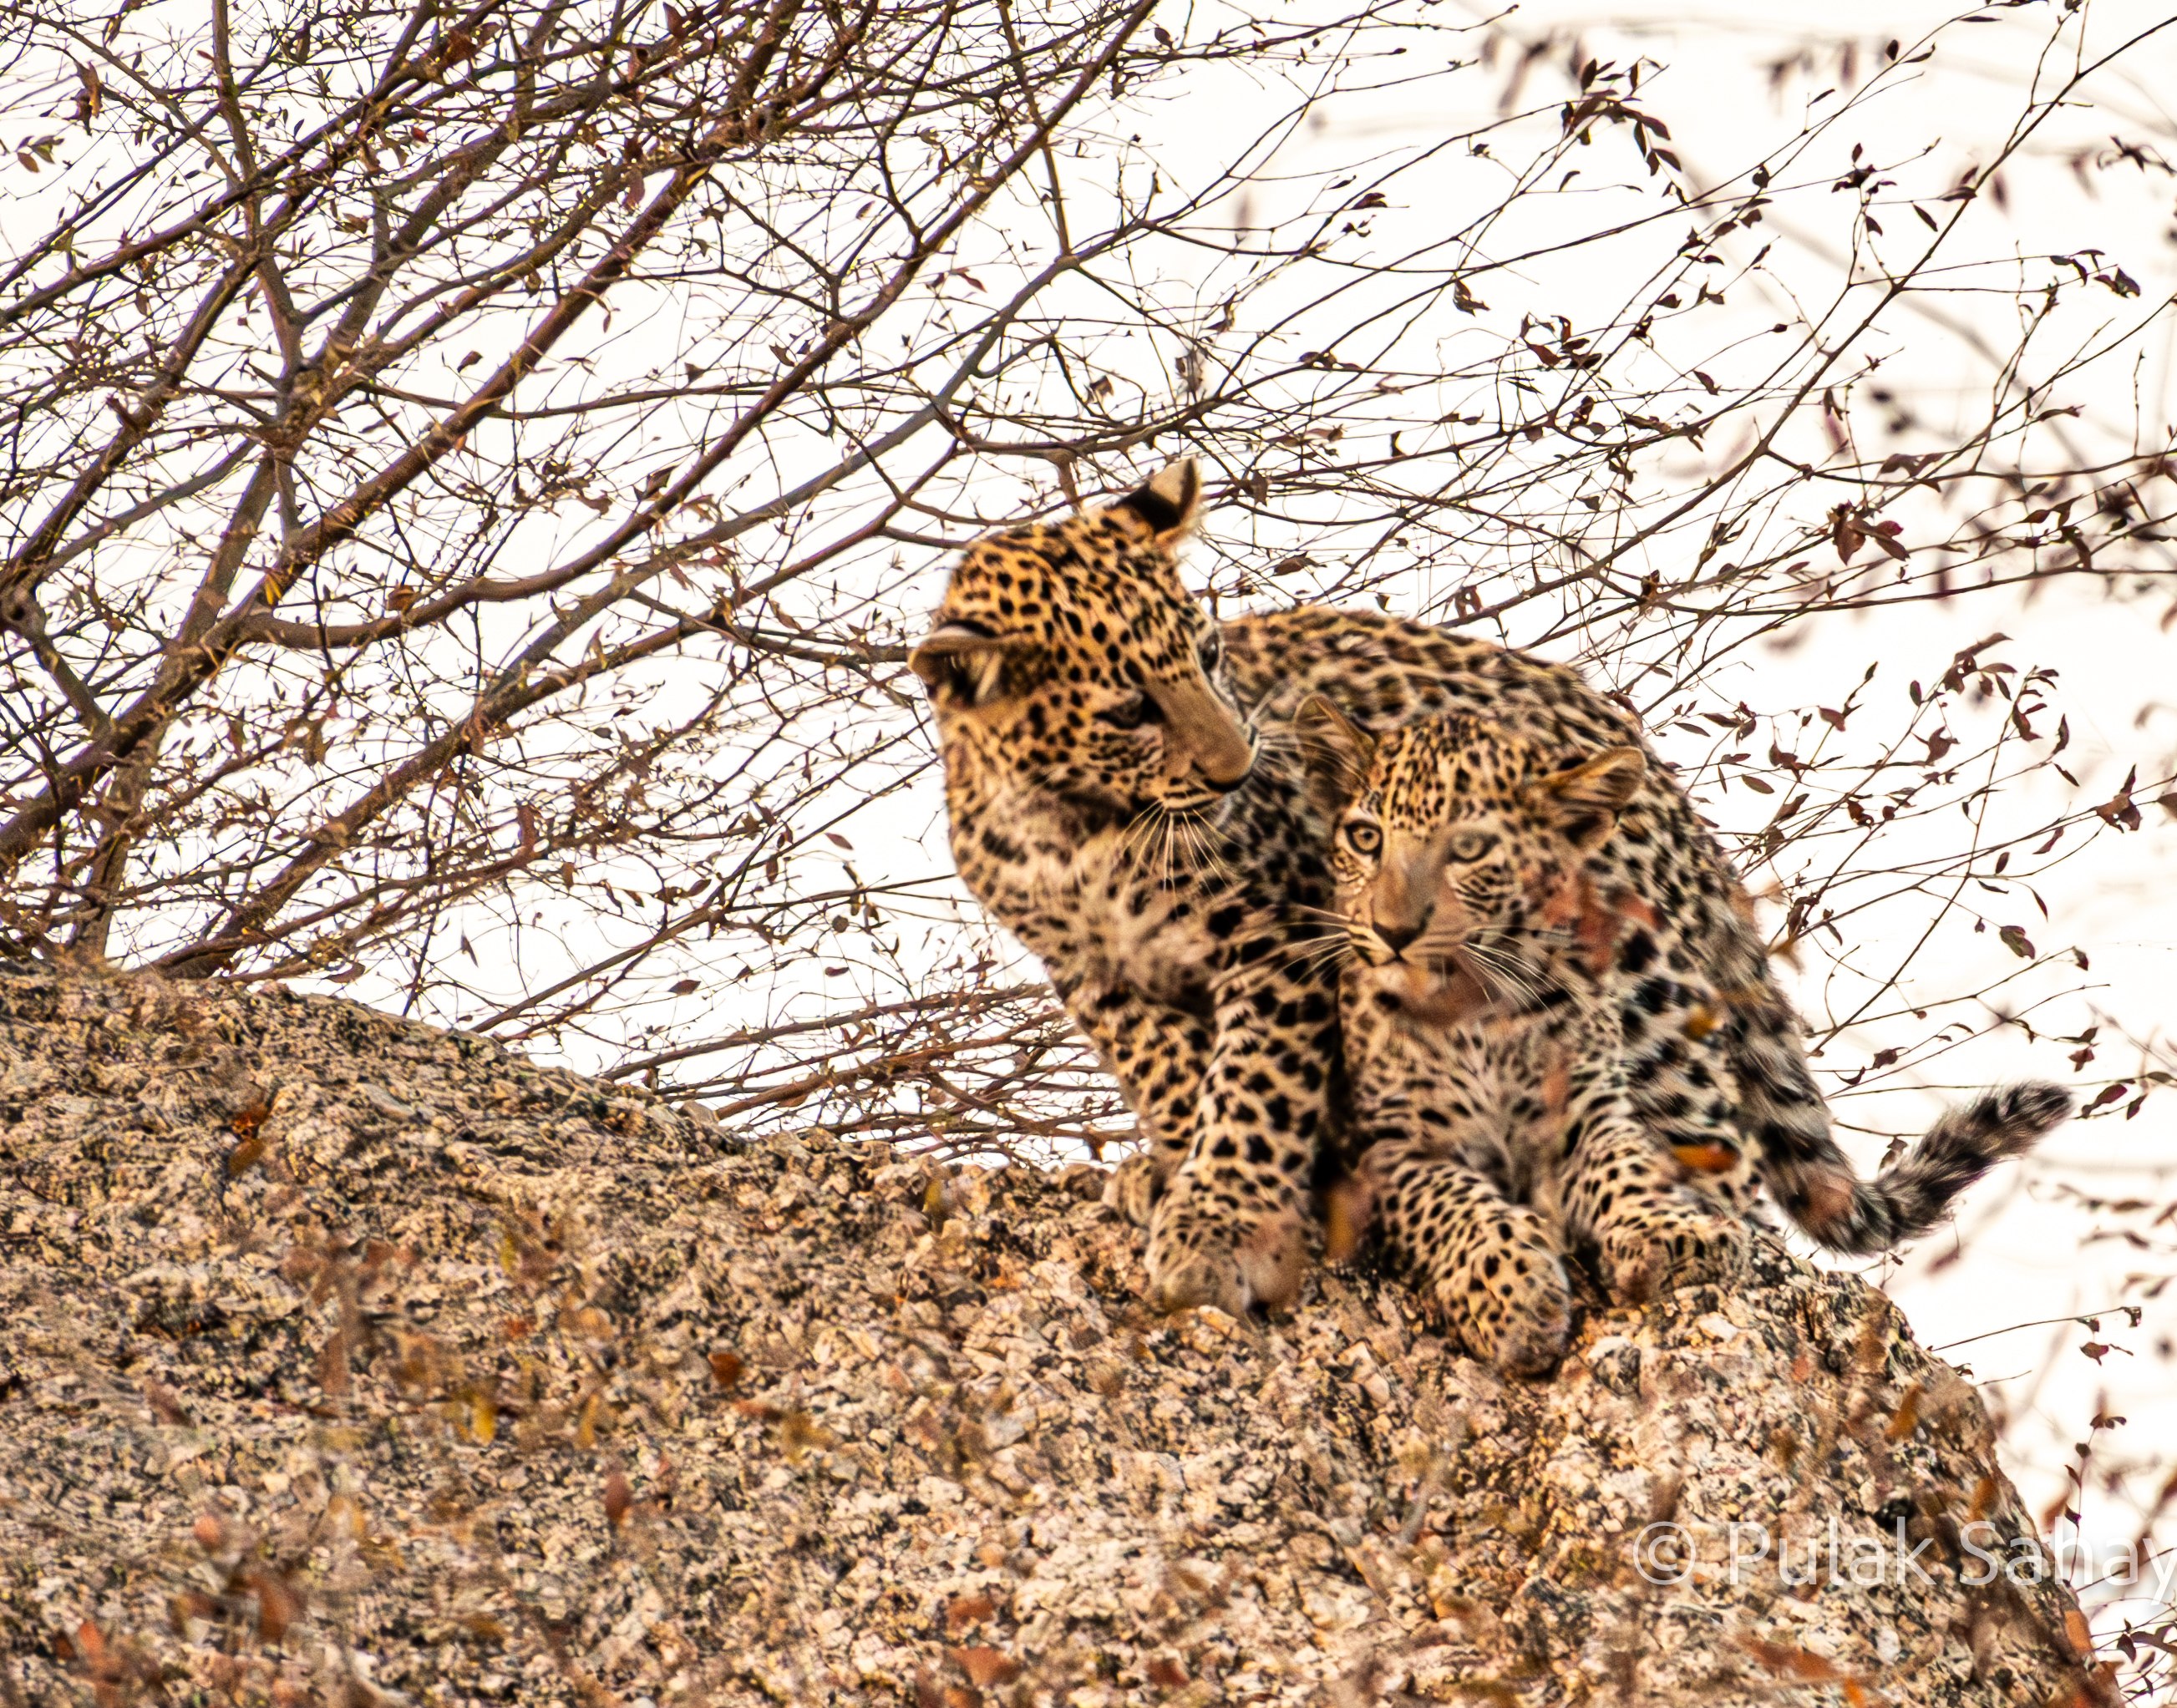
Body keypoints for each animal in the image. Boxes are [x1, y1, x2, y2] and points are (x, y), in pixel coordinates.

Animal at [908, 456, 2050, 1315]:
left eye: (1207, 653)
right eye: (1129, 710)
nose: (1239, 768)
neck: (1076, 828)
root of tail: (1660, 780)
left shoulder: (1276, 930)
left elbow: (1255, 1081)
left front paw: (1221, 1217)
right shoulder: (1089, 970)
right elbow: (1170, 1068)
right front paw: (1179, 1167)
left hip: (1642, 982)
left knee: (1714, 1156)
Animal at [1297, 701, 2072, 1372]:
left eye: (1470, 849)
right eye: (1366, 838)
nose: (1393, 931)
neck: (1476, 1010)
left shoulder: (1590, 1109)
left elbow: (1627, 1164)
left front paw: (1669, 1232)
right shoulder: (1389, 1145)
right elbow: (1455, 1206)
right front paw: (1509, 1292)